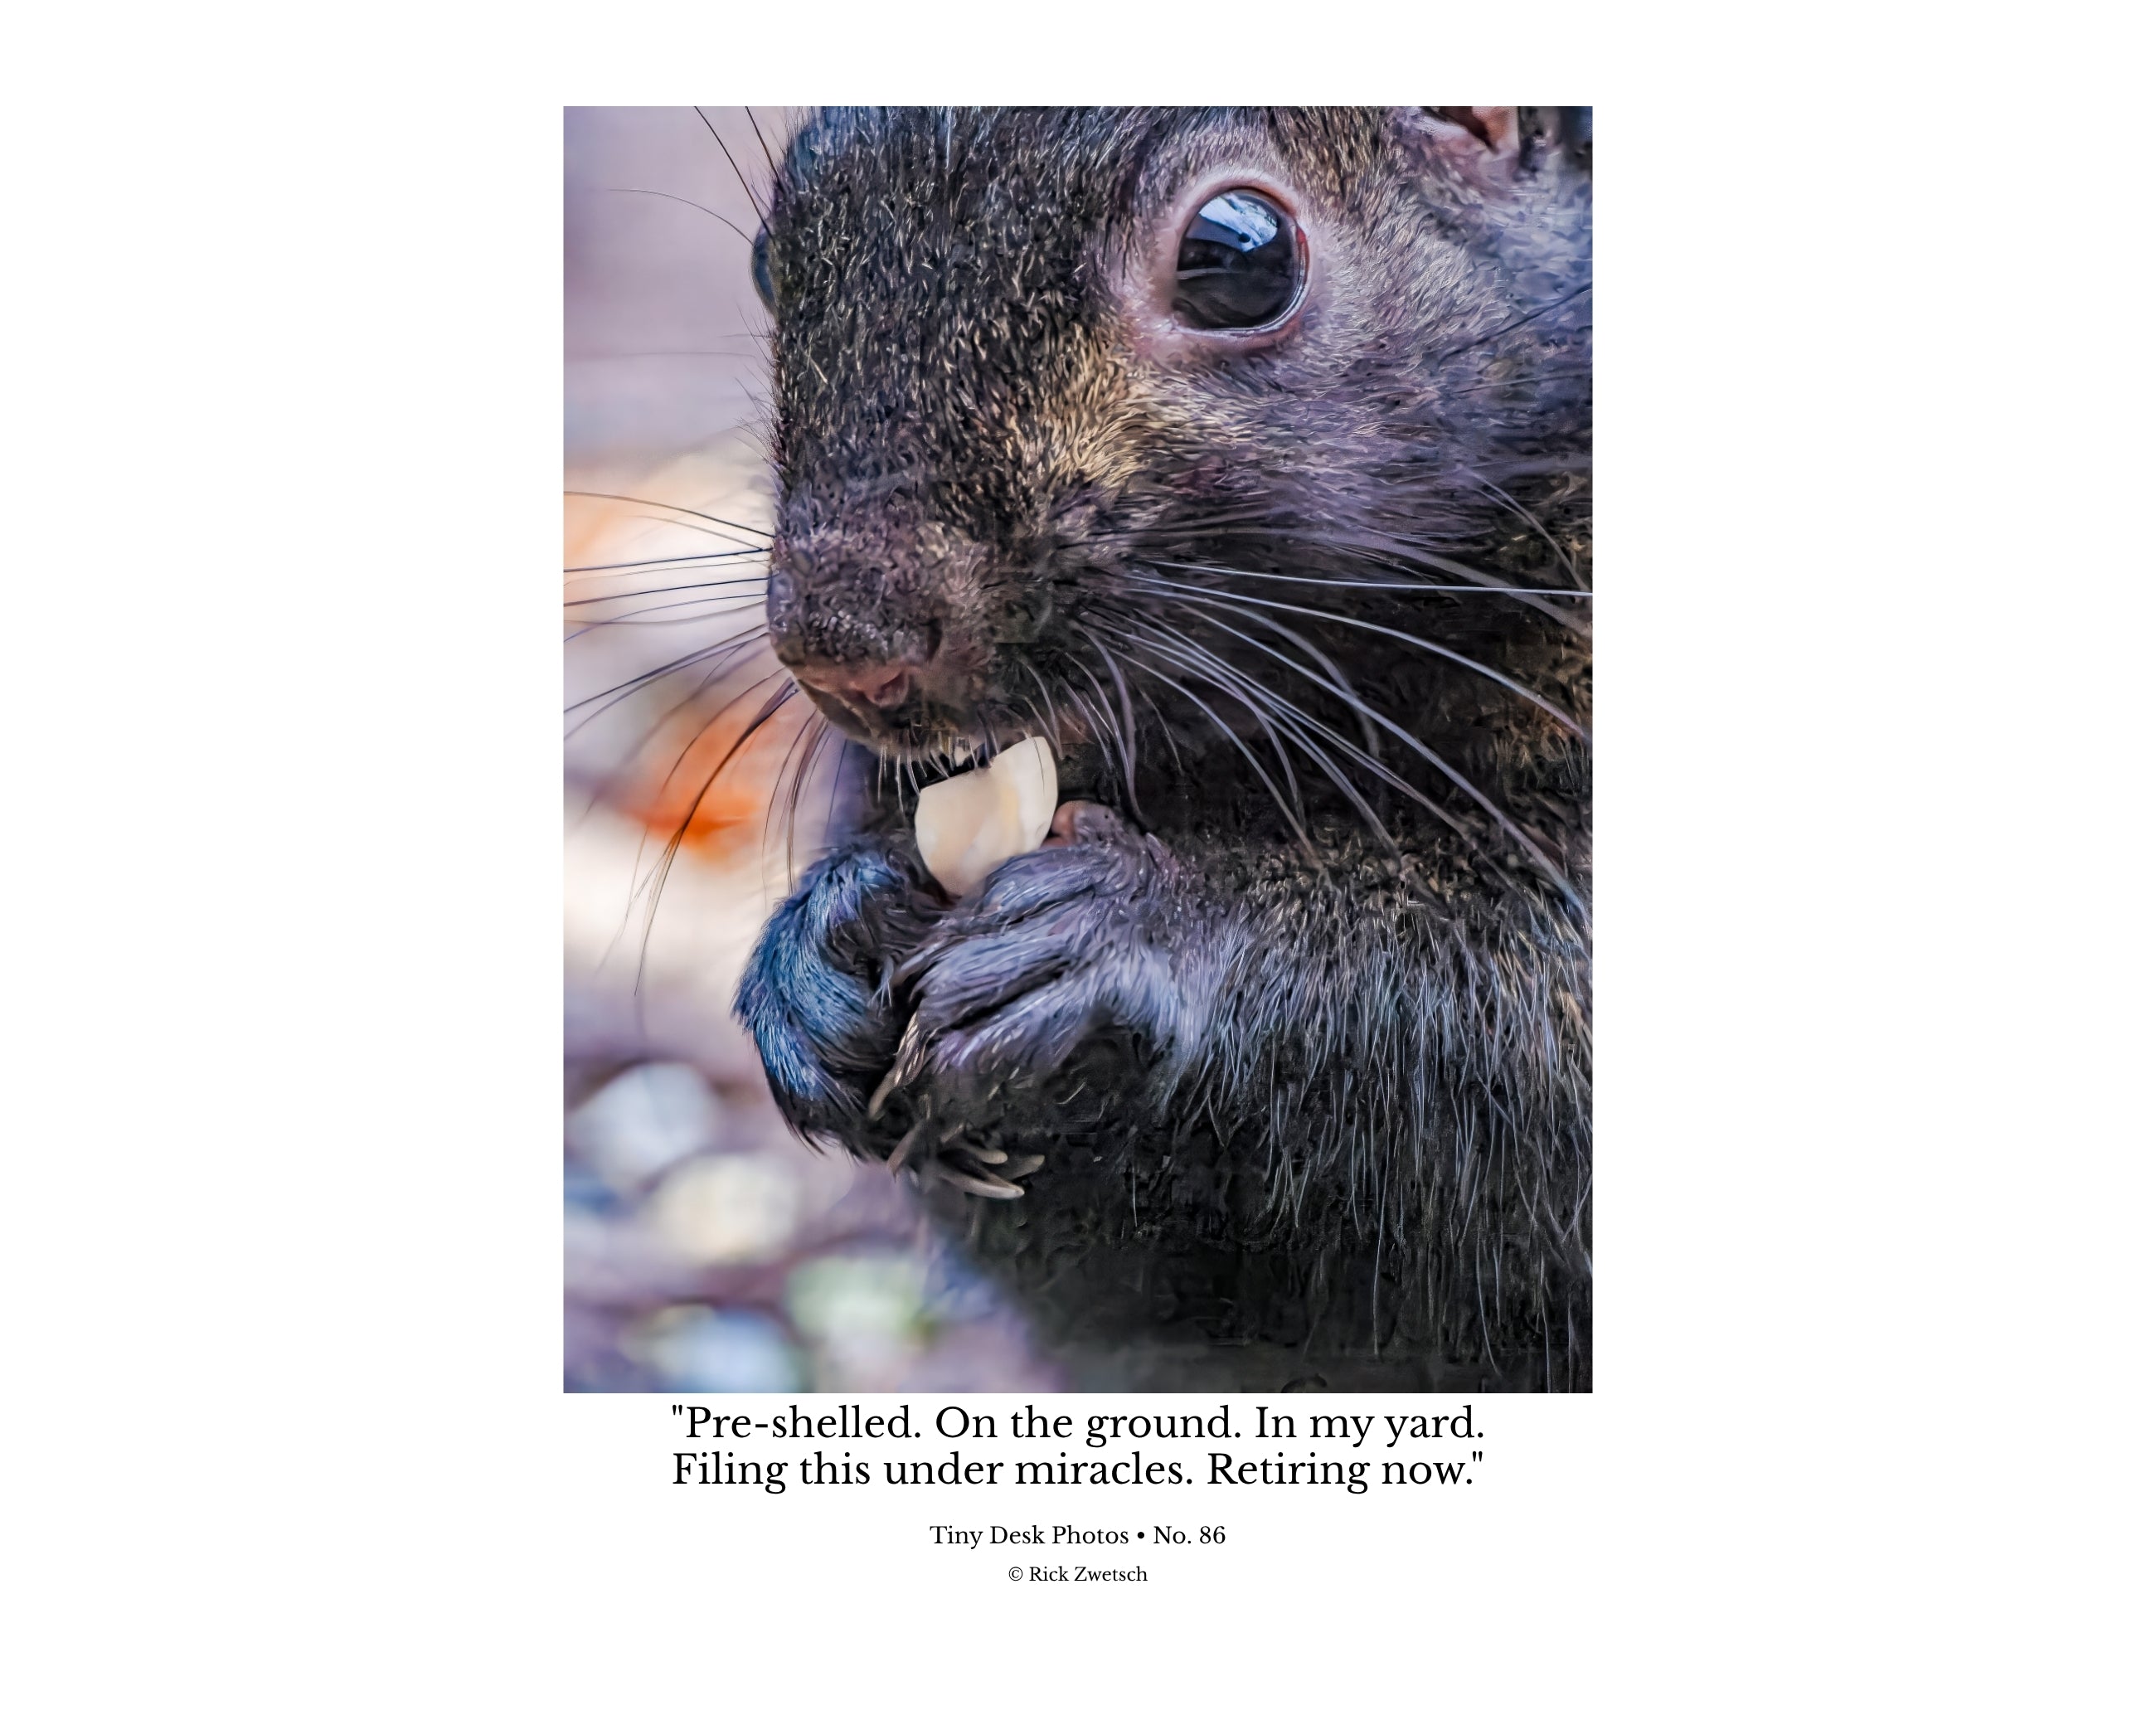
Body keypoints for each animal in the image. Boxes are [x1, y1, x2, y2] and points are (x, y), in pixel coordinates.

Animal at [732, 107, 1592, 1390]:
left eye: (1238, 258)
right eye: (766, 261)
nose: (843, 647)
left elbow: (1540, 1011)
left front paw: (1129, 930)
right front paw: (829, 936)